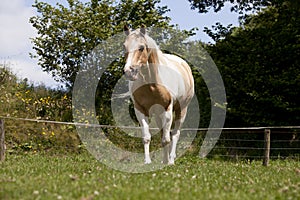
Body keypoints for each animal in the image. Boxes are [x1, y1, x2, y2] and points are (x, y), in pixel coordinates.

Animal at [122, 25, 195, 164]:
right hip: (157, 113)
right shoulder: (140, 110)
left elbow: (167, 138)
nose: (129, 71)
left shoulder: (167, 109)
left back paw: (171, 160)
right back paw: (164, 160)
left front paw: (168, 161)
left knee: (175, 133)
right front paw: (147, 161)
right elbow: (147, 137)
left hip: (182, 109)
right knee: (163, 132)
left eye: (141, 47)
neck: (151, 84)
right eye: (125, 47)